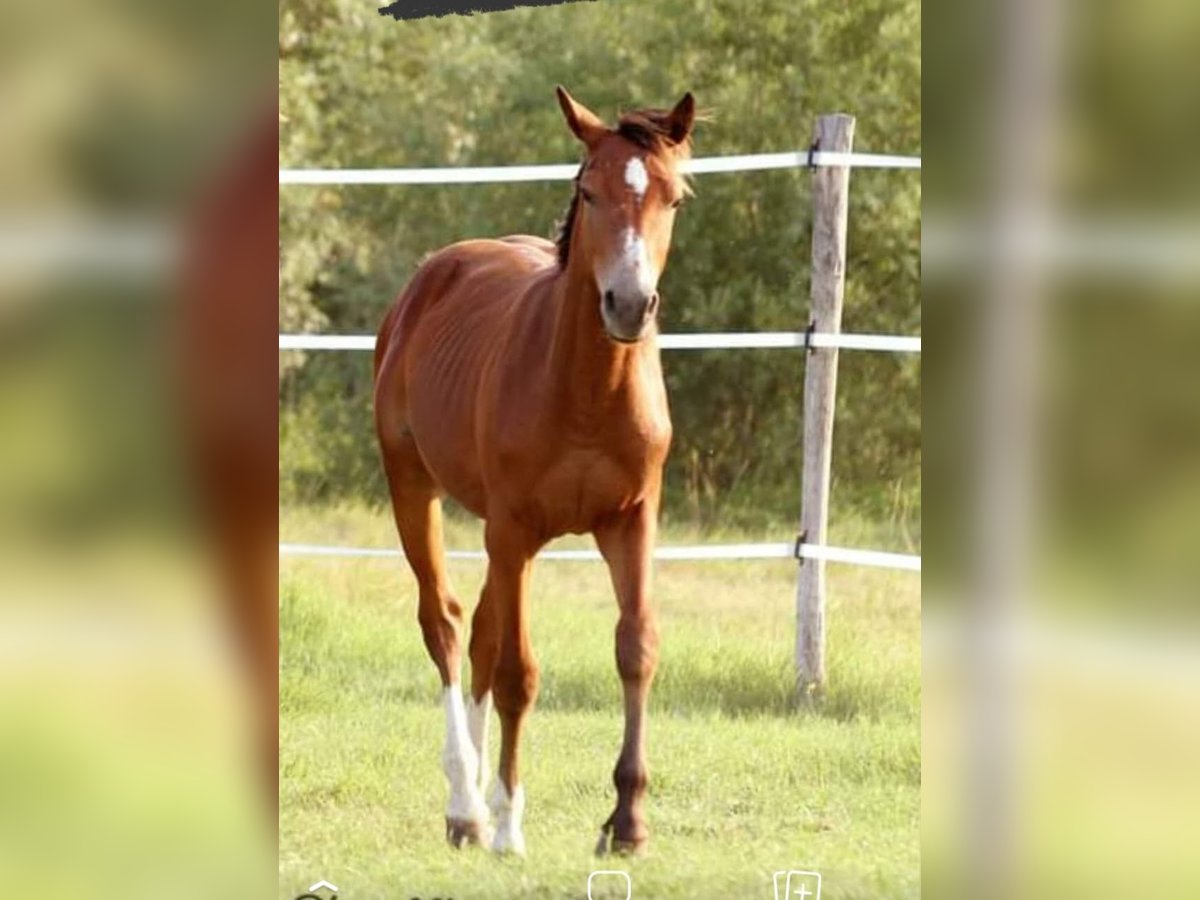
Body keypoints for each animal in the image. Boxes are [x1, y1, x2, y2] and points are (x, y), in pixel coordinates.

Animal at [372, 88, 696, 854]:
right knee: (446, 624)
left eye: (674, 196)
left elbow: (635, 648)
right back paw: (468, 805)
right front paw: (510, 824)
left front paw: (627, 821)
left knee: (483, 633)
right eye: (589, 190)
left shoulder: (631, 522)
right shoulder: (515, 528)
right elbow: (519, 671)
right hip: (416, 489)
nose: (629, 304)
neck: (587, 392)